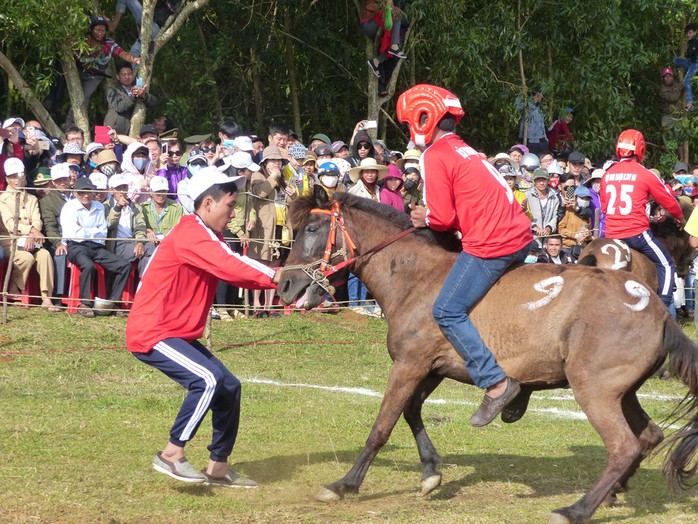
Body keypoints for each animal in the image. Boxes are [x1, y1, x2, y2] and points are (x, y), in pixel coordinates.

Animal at [278, 188, 698, 524]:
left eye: (312, 230)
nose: (283, 284)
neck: (417, 278)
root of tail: (656, 309)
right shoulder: (431, 369)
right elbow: (411, 412)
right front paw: (430, 472)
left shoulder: (410, 365)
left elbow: (382, 426)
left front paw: (345, 484)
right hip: (621, 392)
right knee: (648, 436)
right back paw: (610, 493)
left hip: (595, 391)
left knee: (624, 446)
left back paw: (575, 509)